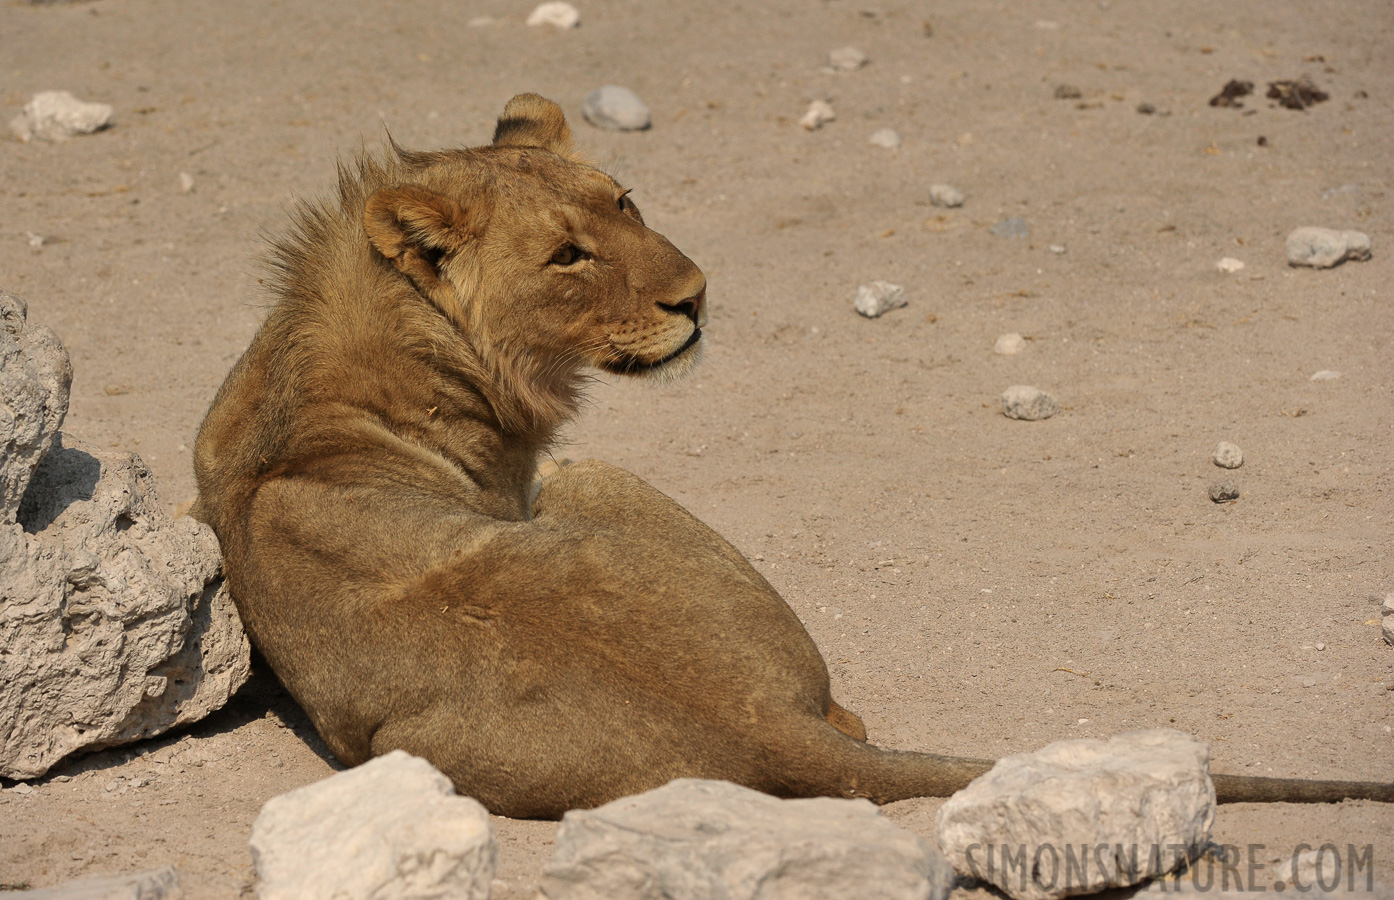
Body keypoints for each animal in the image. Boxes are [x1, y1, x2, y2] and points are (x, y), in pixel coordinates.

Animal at [190, 95, 1388, 819]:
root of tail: (753, 718)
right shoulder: (537, 476)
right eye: (567, 256)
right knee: (846, 719)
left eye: (623, 201)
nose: (695, 296)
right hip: (598, 483)